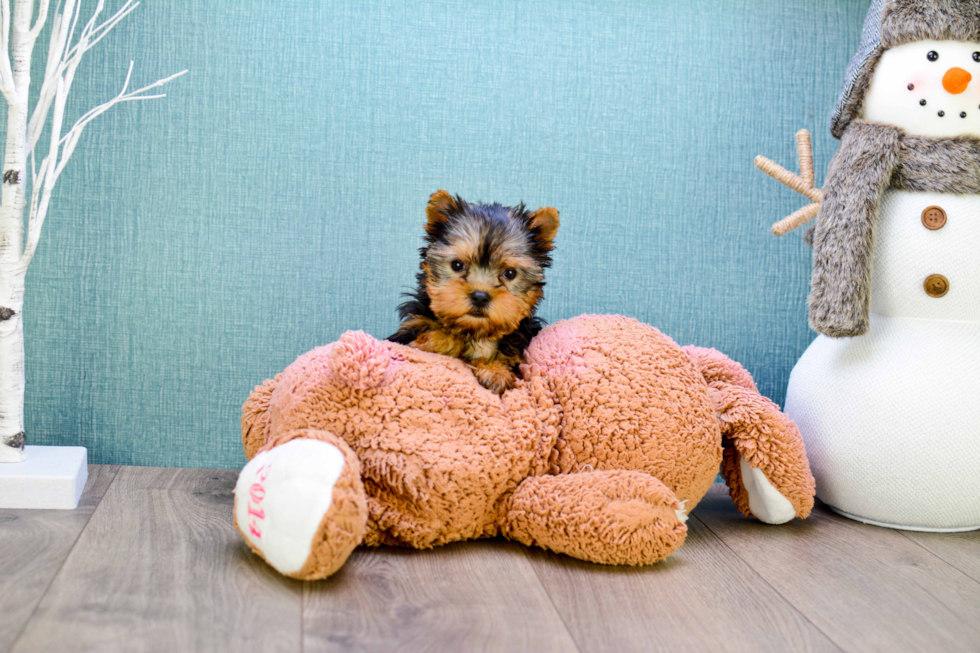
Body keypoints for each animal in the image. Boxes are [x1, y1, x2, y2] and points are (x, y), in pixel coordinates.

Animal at [388, 188, 560, 392]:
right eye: (457, 265)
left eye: (510, 273)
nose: (480, 296)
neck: (476, 331)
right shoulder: (408, 330)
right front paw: (435, 340)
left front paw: (496, 371)